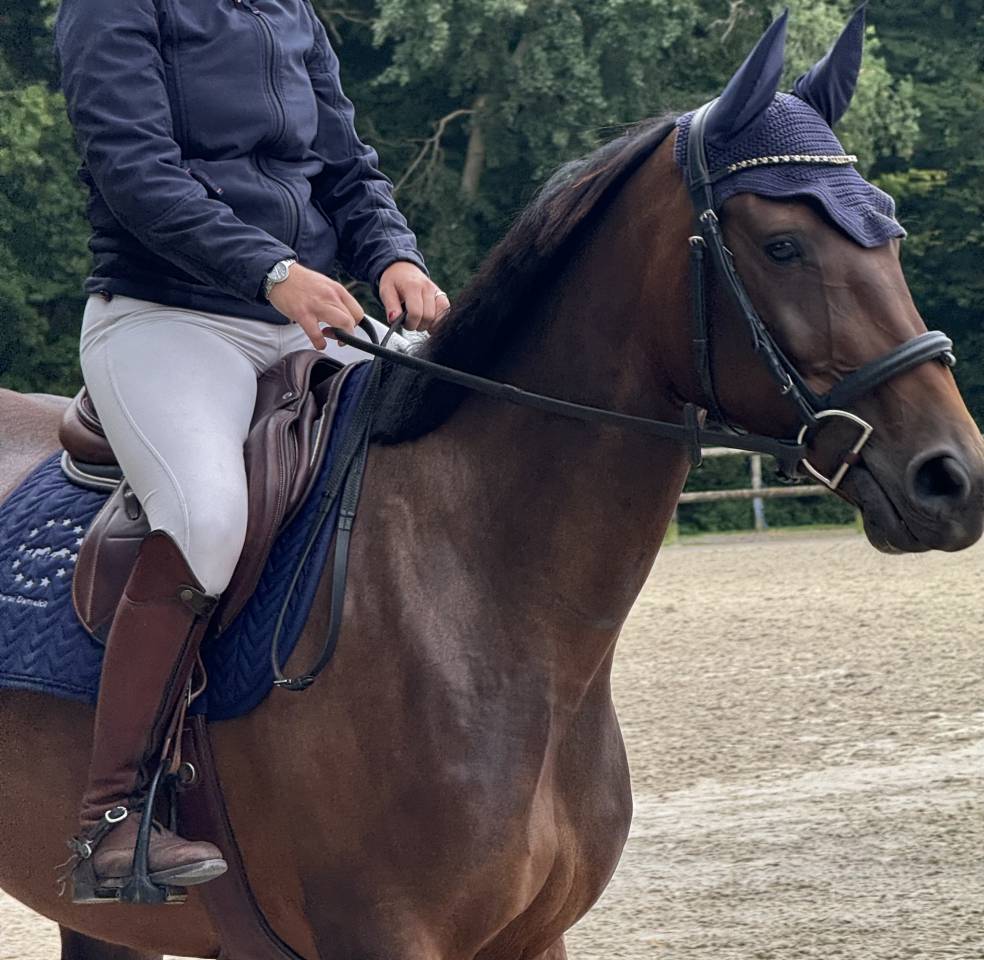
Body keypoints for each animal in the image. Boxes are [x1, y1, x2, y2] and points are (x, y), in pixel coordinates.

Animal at [2, 11, 983, 960]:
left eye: (890, 226)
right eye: (783, 245)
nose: (952, 478)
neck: (487, 598)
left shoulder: (535, 935)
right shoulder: (379, 938)